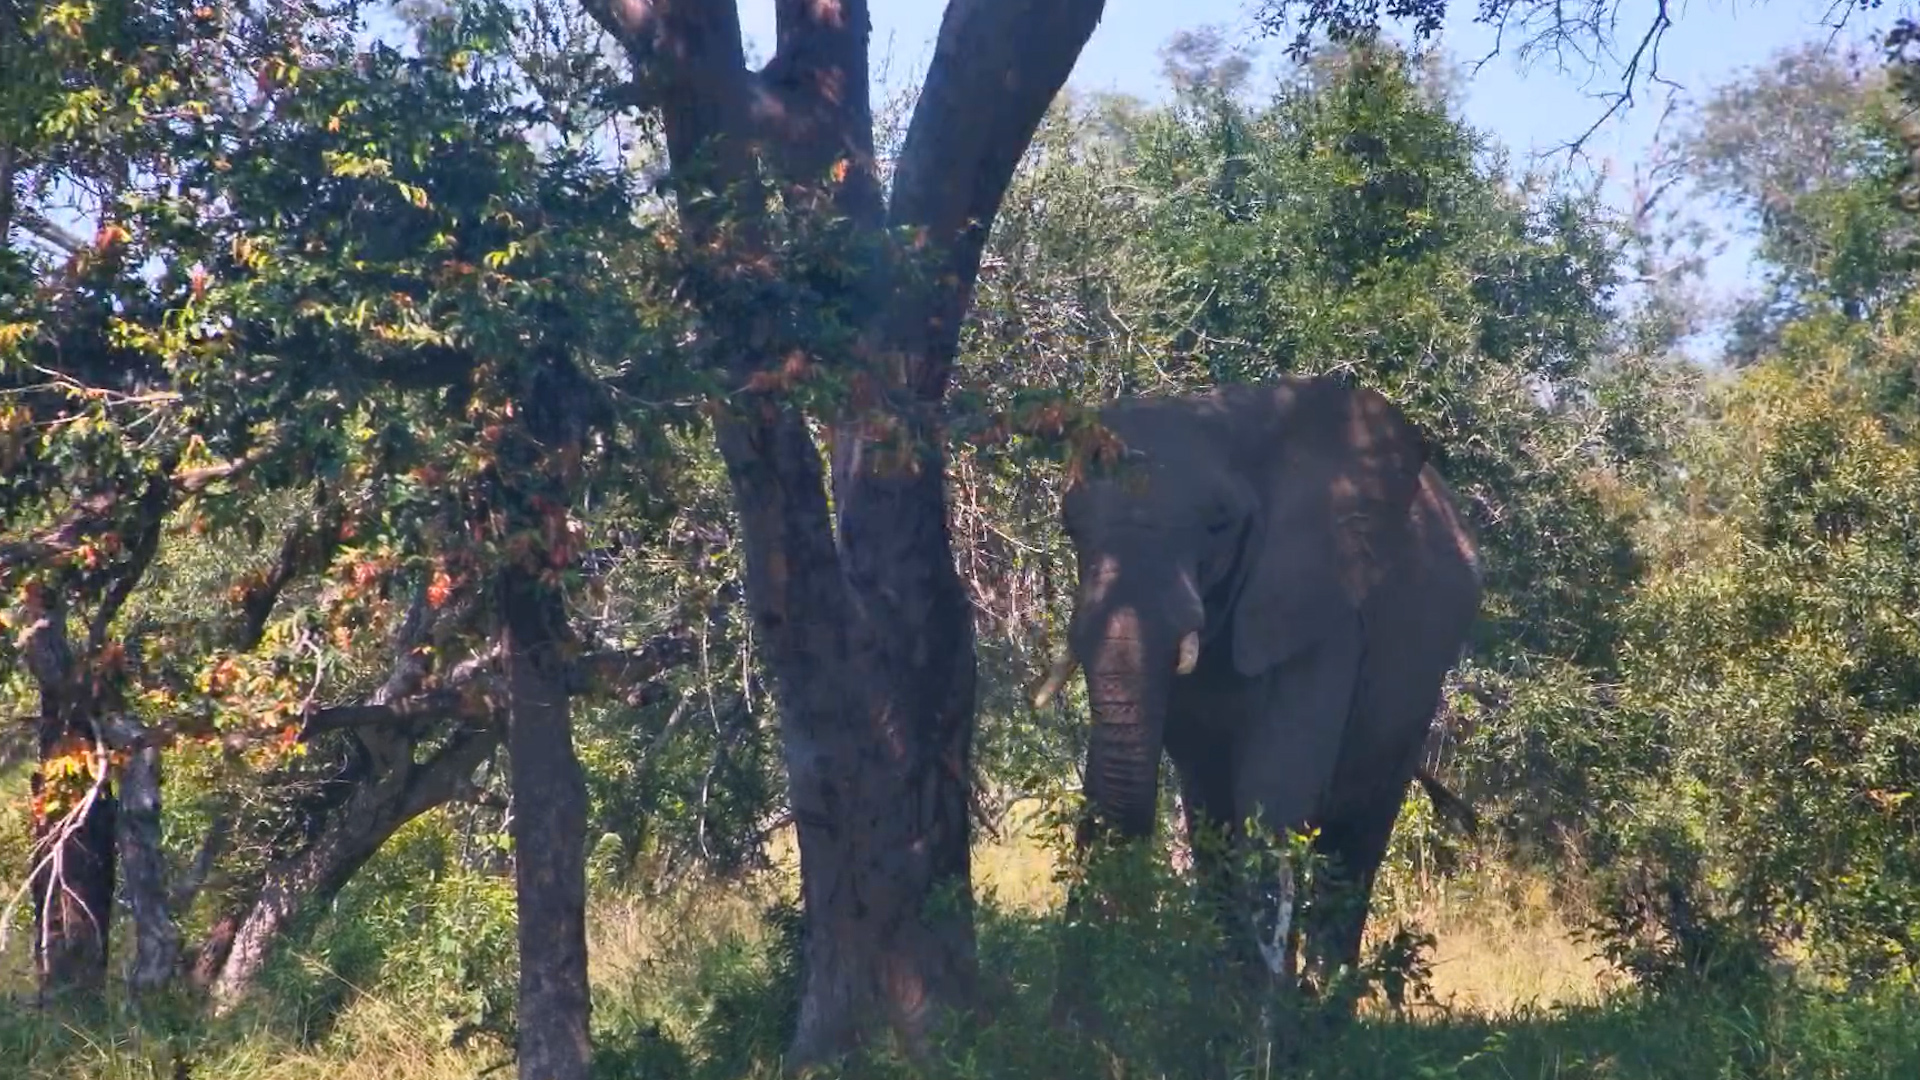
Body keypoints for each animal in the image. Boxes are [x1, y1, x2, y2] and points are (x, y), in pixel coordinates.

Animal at [1033, 374, 1483, 1012]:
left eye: (1220, 524)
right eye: (1070, 525)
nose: (1071, 1010)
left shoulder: (1322, 610)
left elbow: (1271, 795)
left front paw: (1259, 1016)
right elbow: (1209, 812)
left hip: (1420, 683)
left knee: (1356, 842)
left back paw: (1320, 1012)